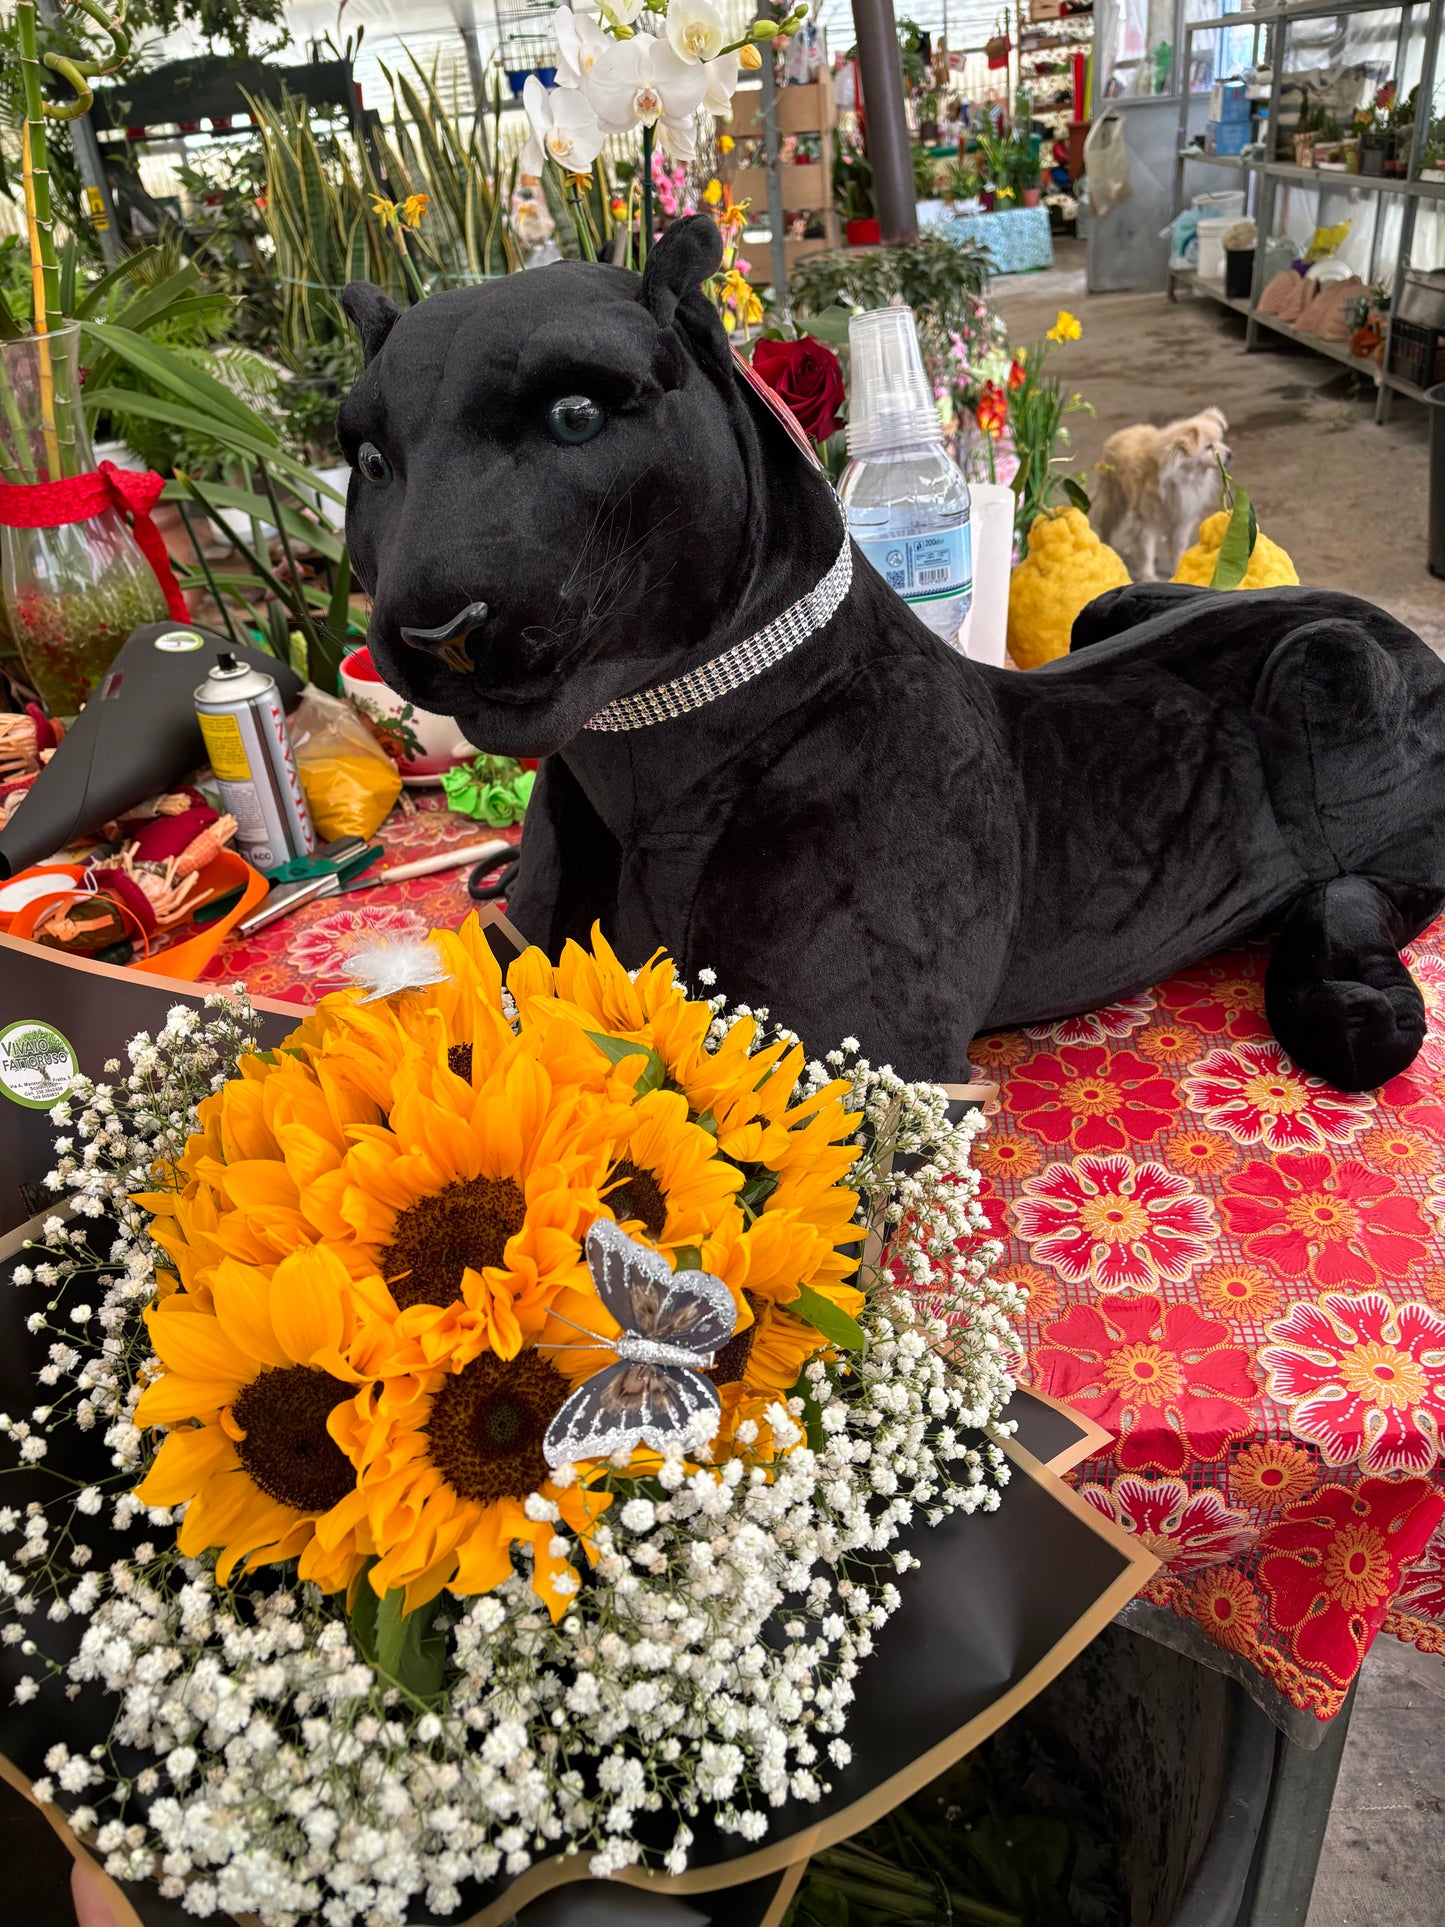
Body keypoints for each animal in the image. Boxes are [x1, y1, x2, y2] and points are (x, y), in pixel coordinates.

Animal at [1094, 406, 1233, 578]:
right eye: (1208, 447)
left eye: (1220, 441)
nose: (1230, 455)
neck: (1183, 477)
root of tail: (1120, 434)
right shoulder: (1145, 520)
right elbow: (1145, 550)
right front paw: (1148, 575)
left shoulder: (1181, 519)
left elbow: (1177, 548)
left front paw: (1179, 569)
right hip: (1114, 499)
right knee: (1105, 524)